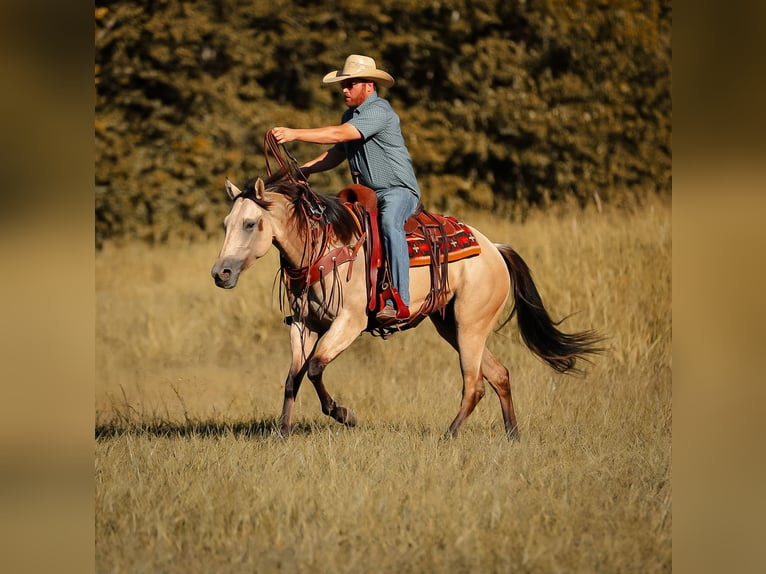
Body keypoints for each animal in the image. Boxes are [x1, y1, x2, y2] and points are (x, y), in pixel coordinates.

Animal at [211, 175, 603, 440]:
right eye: (227, 224)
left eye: (250, 223)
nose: (220, 273)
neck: (326, 247)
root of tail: (494, 249)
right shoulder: (304, 325)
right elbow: (293, 377)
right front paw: (281, 432)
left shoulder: (348, 323)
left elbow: (317, 368)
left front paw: (345, 414)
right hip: (452, 326)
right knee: (499, 374)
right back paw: (512, 435)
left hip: (470, 325)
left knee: (475, 383)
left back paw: (449, 435)